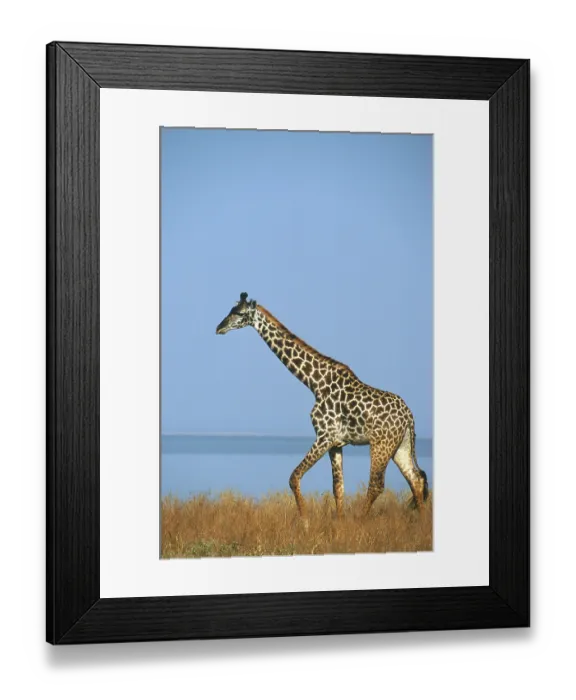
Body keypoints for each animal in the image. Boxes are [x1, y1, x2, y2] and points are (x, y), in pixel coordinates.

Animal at [216, 293, 429, 522]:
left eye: (239, 313)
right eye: (230, 309)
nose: (219, 327)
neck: (315, 383)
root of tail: (409, 415)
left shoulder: (324, 436)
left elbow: (294, 476)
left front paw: (305, 522)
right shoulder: (335, 443)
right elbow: (338, 488)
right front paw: (339, 523)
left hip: (381, 444)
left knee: (376, 485)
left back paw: (361, 521)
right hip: (400, 445)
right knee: (415, 479)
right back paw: (421, 522)